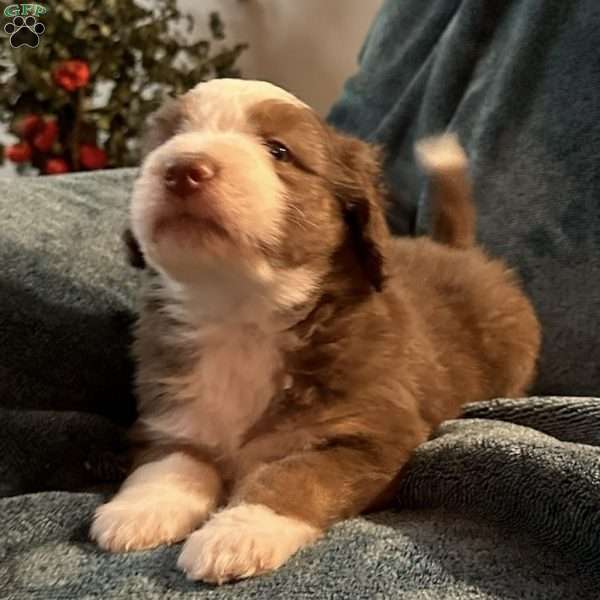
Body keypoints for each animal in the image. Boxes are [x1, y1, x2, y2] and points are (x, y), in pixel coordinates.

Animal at [91, 78, 540, 580]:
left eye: (279, 150)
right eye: (168, 140)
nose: (182, 168)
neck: (240, 315)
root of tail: (457, 250)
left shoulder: (373, 434)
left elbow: (296, 476)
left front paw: (240, 532)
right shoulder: (169, 416)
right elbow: (168, 463)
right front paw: (140, 510)